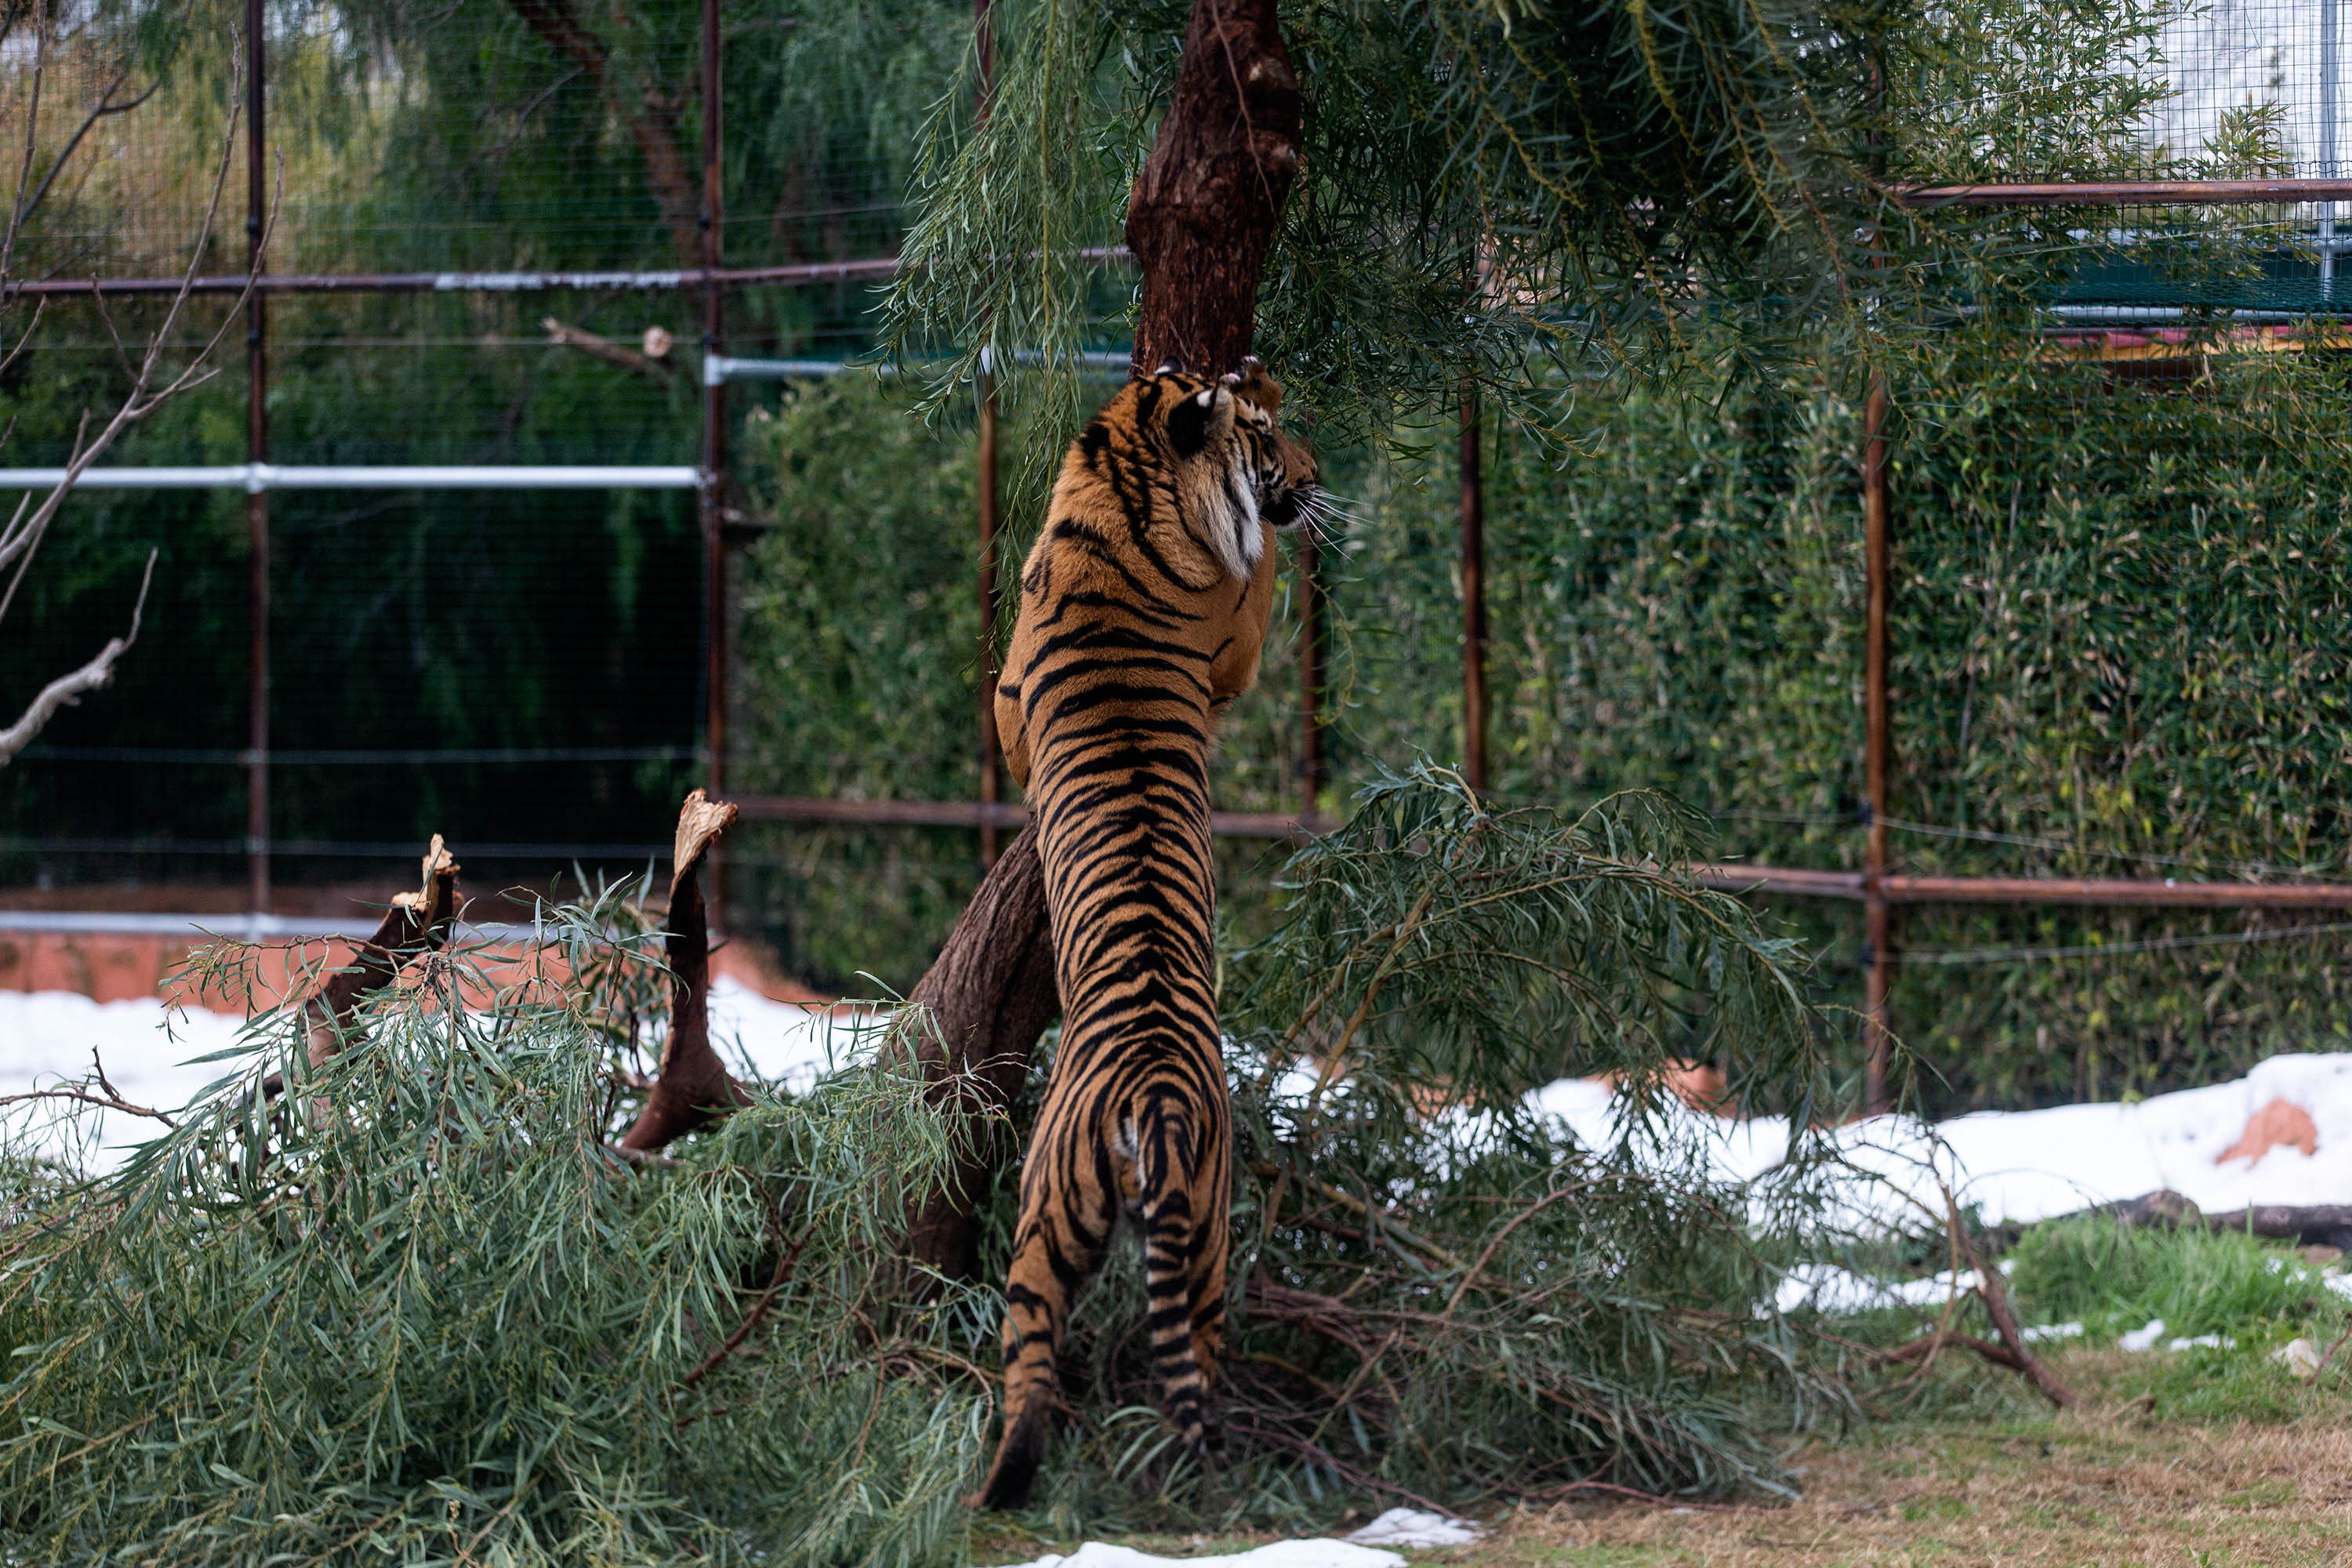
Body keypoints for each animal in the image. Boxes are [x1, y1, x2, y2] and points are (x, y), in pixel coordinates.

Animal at [969, 352, 1327, 1504]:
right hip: (1186, 1233)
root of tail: (1157, 1102)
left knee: (1036, 1373)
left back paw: (1008, 1483)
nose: (1314, 473)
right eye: (1268, 434)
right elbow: (1256, 569)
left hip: (1047, 1225)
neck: (1129, 492)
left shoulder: (1013, 700)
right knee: (1180, 1361)